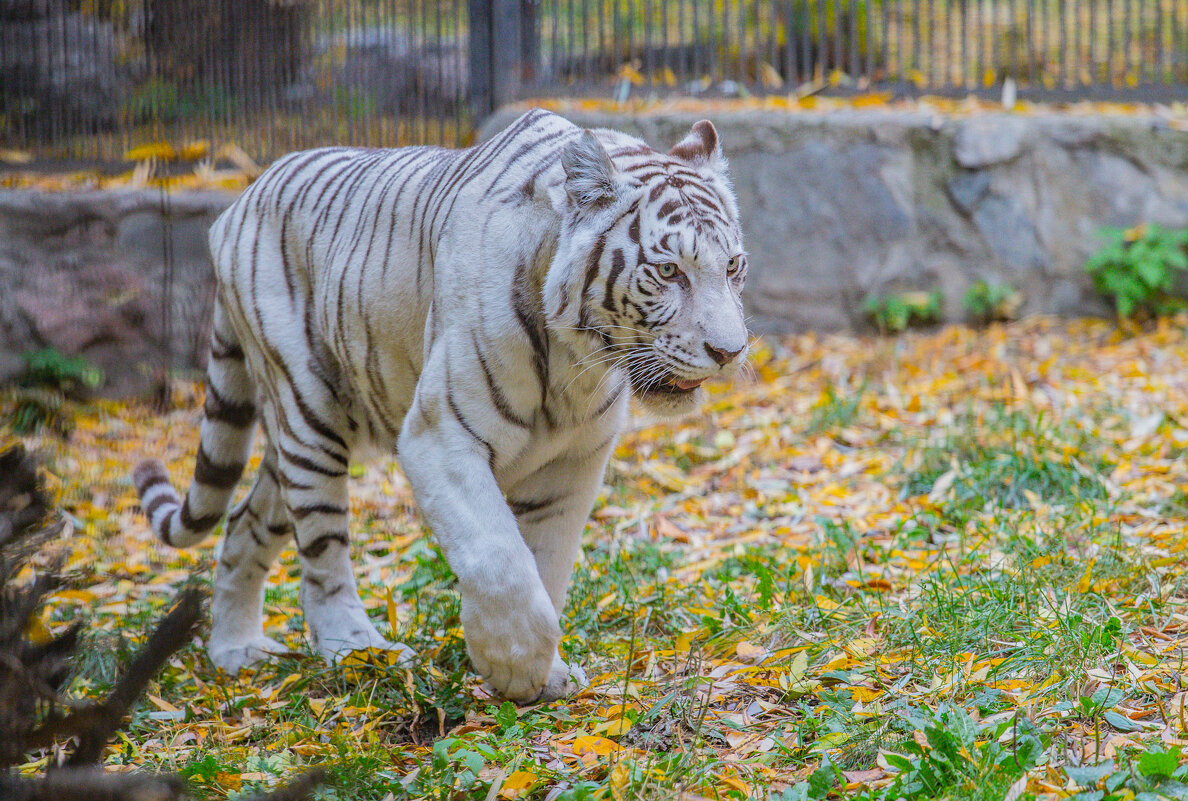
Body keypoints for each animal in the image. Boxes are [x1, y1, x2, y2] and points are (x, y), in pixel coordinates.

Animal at [134, 107, 746, 698]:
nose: (729, 352)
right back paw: (358, 649)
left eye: (733, 266)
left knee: (244, 522)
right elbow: (500, 559)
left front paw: (543, 672)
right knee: (323, 555)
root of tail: (240, 199)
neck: (577, 363)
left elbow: (546, 564)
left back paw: (235, 648)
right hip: (309, 411)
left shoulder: (573, 461)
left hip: (299, 441)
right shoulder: (441, 435)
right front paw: (513, 666)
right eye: (668, 270)